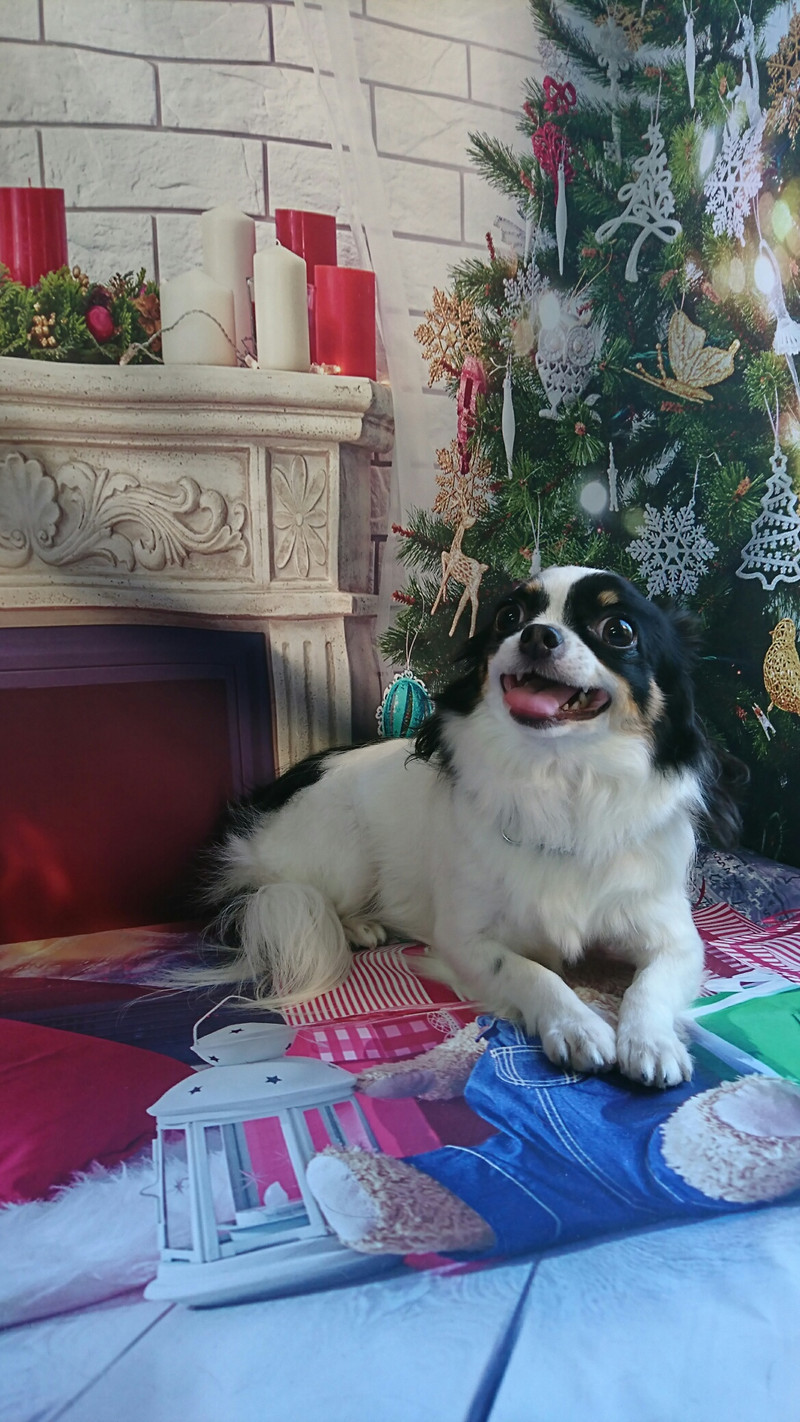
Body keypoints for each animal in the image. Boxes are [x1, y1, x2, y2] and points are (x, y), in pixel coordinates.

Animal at [201, 565, 743, 1088]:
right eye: (508, 617)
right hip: (343, 852)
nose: (537, 635)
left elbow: (648, 986)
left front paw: (651, 1042)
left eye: (619, 630)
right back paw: (357, 925)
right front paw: (576, 1024)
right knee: (308, 894)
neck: (559, 779)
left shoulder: (675, 939)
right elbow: (532, 971)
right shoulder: (464, 941)